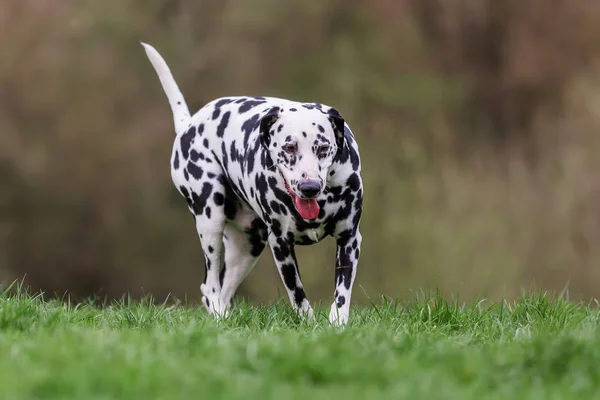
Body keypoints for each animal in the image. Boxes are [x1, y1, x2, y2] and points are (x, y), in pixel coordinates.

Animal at [142, 43, 360, 324]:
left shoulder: (349, 240)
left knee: (222, 291)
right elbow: (298, 296)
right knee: (210, 286)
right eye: (289, 147)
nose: (309, 187)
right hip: (210, 221)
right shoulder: (281, 245)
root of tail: (188, 124)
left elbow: (342, 293)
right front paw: (309, 323)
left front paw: (337, 323)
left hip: (248, 246)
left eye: (323, 148)